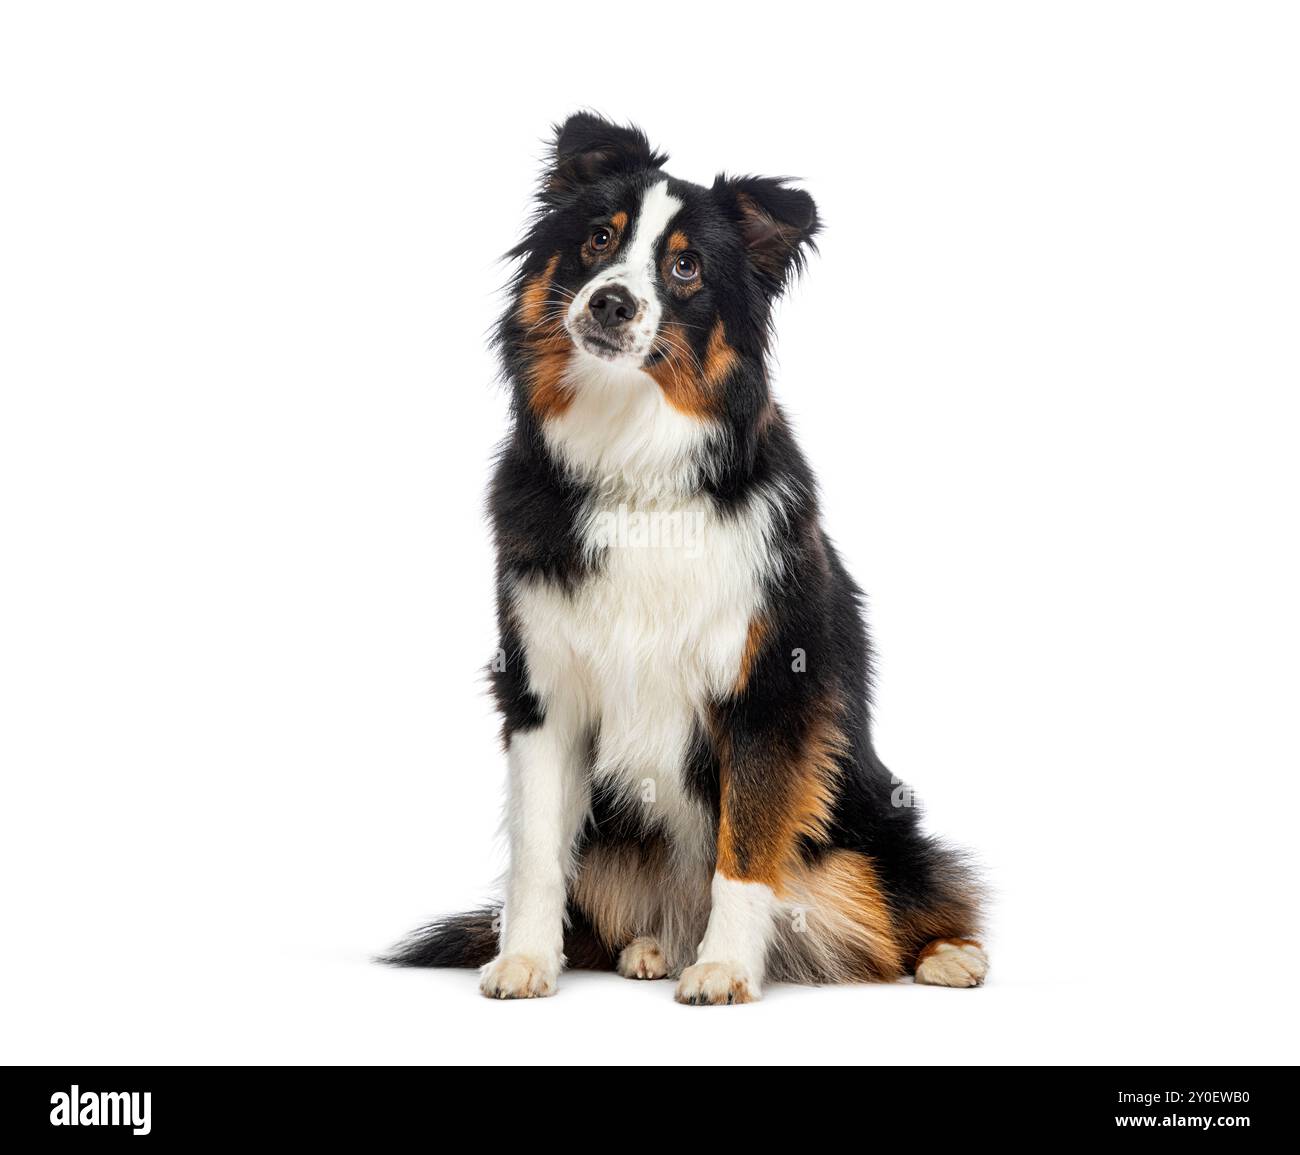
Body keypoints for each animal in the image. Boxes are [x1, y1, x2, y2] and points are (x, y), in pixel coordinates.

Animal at [384, 115, 982, 1004]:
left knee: (907, 894)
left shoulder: (769, 689)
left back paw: (947, 954)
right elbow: (536, 852)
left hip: (868, 824)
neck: (635, 458)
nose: (611, 301)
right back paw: (650, 946)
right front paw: (524, 958)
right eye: (598, 239)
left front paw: (726, 966)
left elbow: (747, 849)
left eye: (686, 266)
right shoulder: (542, 690)